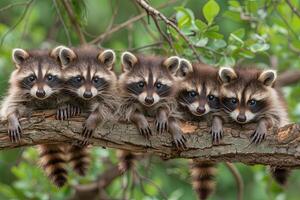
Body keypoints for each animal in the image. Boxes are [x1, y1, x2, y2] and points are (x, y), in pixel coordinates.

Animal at [0, 47, 67, 188]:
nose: (40, 93)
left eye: (49, 77)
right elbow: (10, 105)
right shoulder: (18, 93)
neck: (42, 99)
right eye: (31, 78)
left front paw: (64, 105)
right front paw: (12, 118)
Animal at [56, 46, 118, 176]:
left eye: (96, 79)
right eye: (79, 78)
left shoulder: (111, 90)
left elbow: (108, 105)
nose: (87, 94)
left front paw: (94, 118)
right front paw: (65, 105)